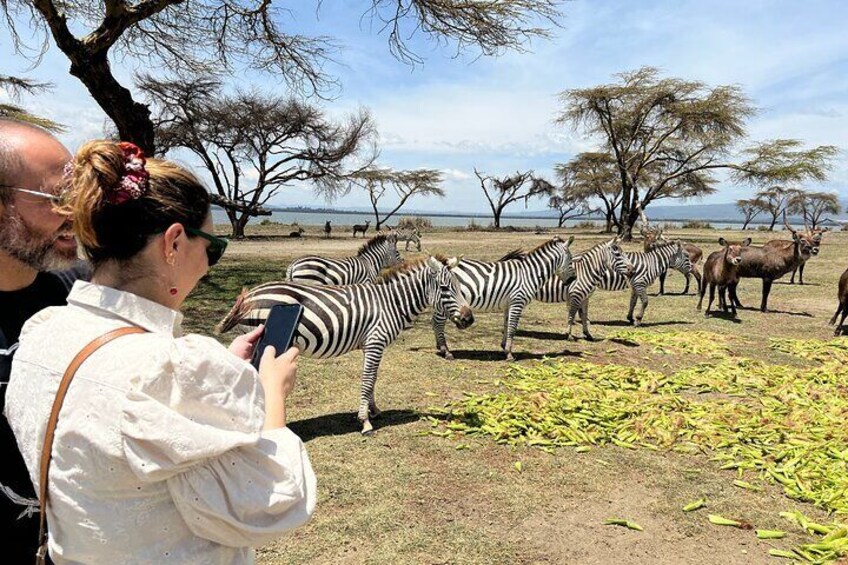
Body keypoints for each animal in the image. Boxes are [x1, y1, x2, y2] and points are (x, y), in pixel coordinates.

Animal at [215, 253, 474, 434]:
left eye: (459, 287)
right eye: (445, 288)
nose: (469, 319)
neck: (391, 303)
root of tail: (249, 295)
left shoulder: (371, 345)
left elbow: (373, 378)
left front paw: (374, 410)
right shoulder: (375, 341)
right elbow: (368, 379)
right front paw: (365, 421)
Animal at [434, 235, 580, 362]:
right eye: (570, 260)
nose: (573, 279)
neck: (529, 274)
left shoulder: (508, 304)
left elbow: (506, 324)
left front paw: (504, 347)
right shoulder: (517, 302)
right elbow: (512, 326)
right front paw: (509, 353)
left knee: (435, 322)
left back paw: (440, 347)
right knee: (437, 322)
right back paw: (446, 351)